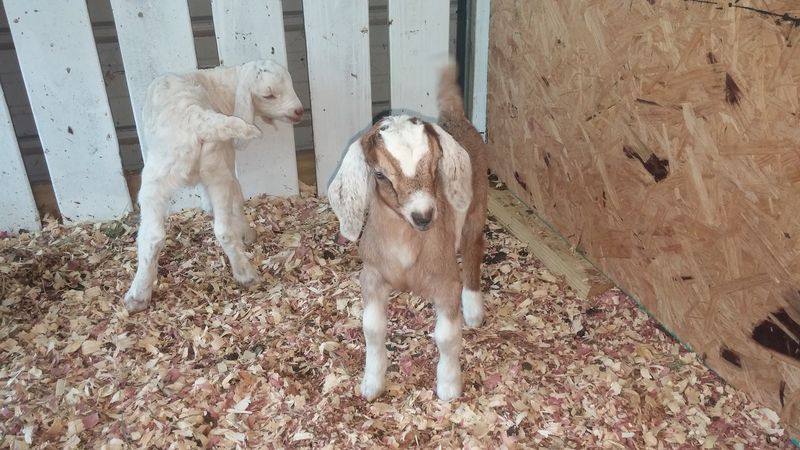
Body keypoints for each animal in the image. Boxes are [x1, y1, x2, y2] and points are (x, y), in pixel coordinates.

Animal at [124, 59, 303, 313]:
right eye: (268, 95)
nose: (299, 111)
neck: (222, 87)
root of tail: (195, 117)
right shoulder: (224, 165)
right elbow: (232, 201)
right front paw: (247, 235)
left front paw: (245, 234)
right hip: (205, 171)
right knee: (175, 233)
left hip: (169, 177)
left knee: (167, 234)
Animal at [328, 64, 488, 400]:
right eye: (379, 175)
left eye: (436, 165)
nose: (424, 216)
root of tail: (456, 118)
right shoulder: (372, 275)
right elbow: (372, 330)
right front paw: (372, 384)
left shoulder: (446, 282)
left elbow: (446, 337)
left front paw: (449, 387)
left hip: (475, 210)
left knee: (473, 250)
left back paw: (473, 310)